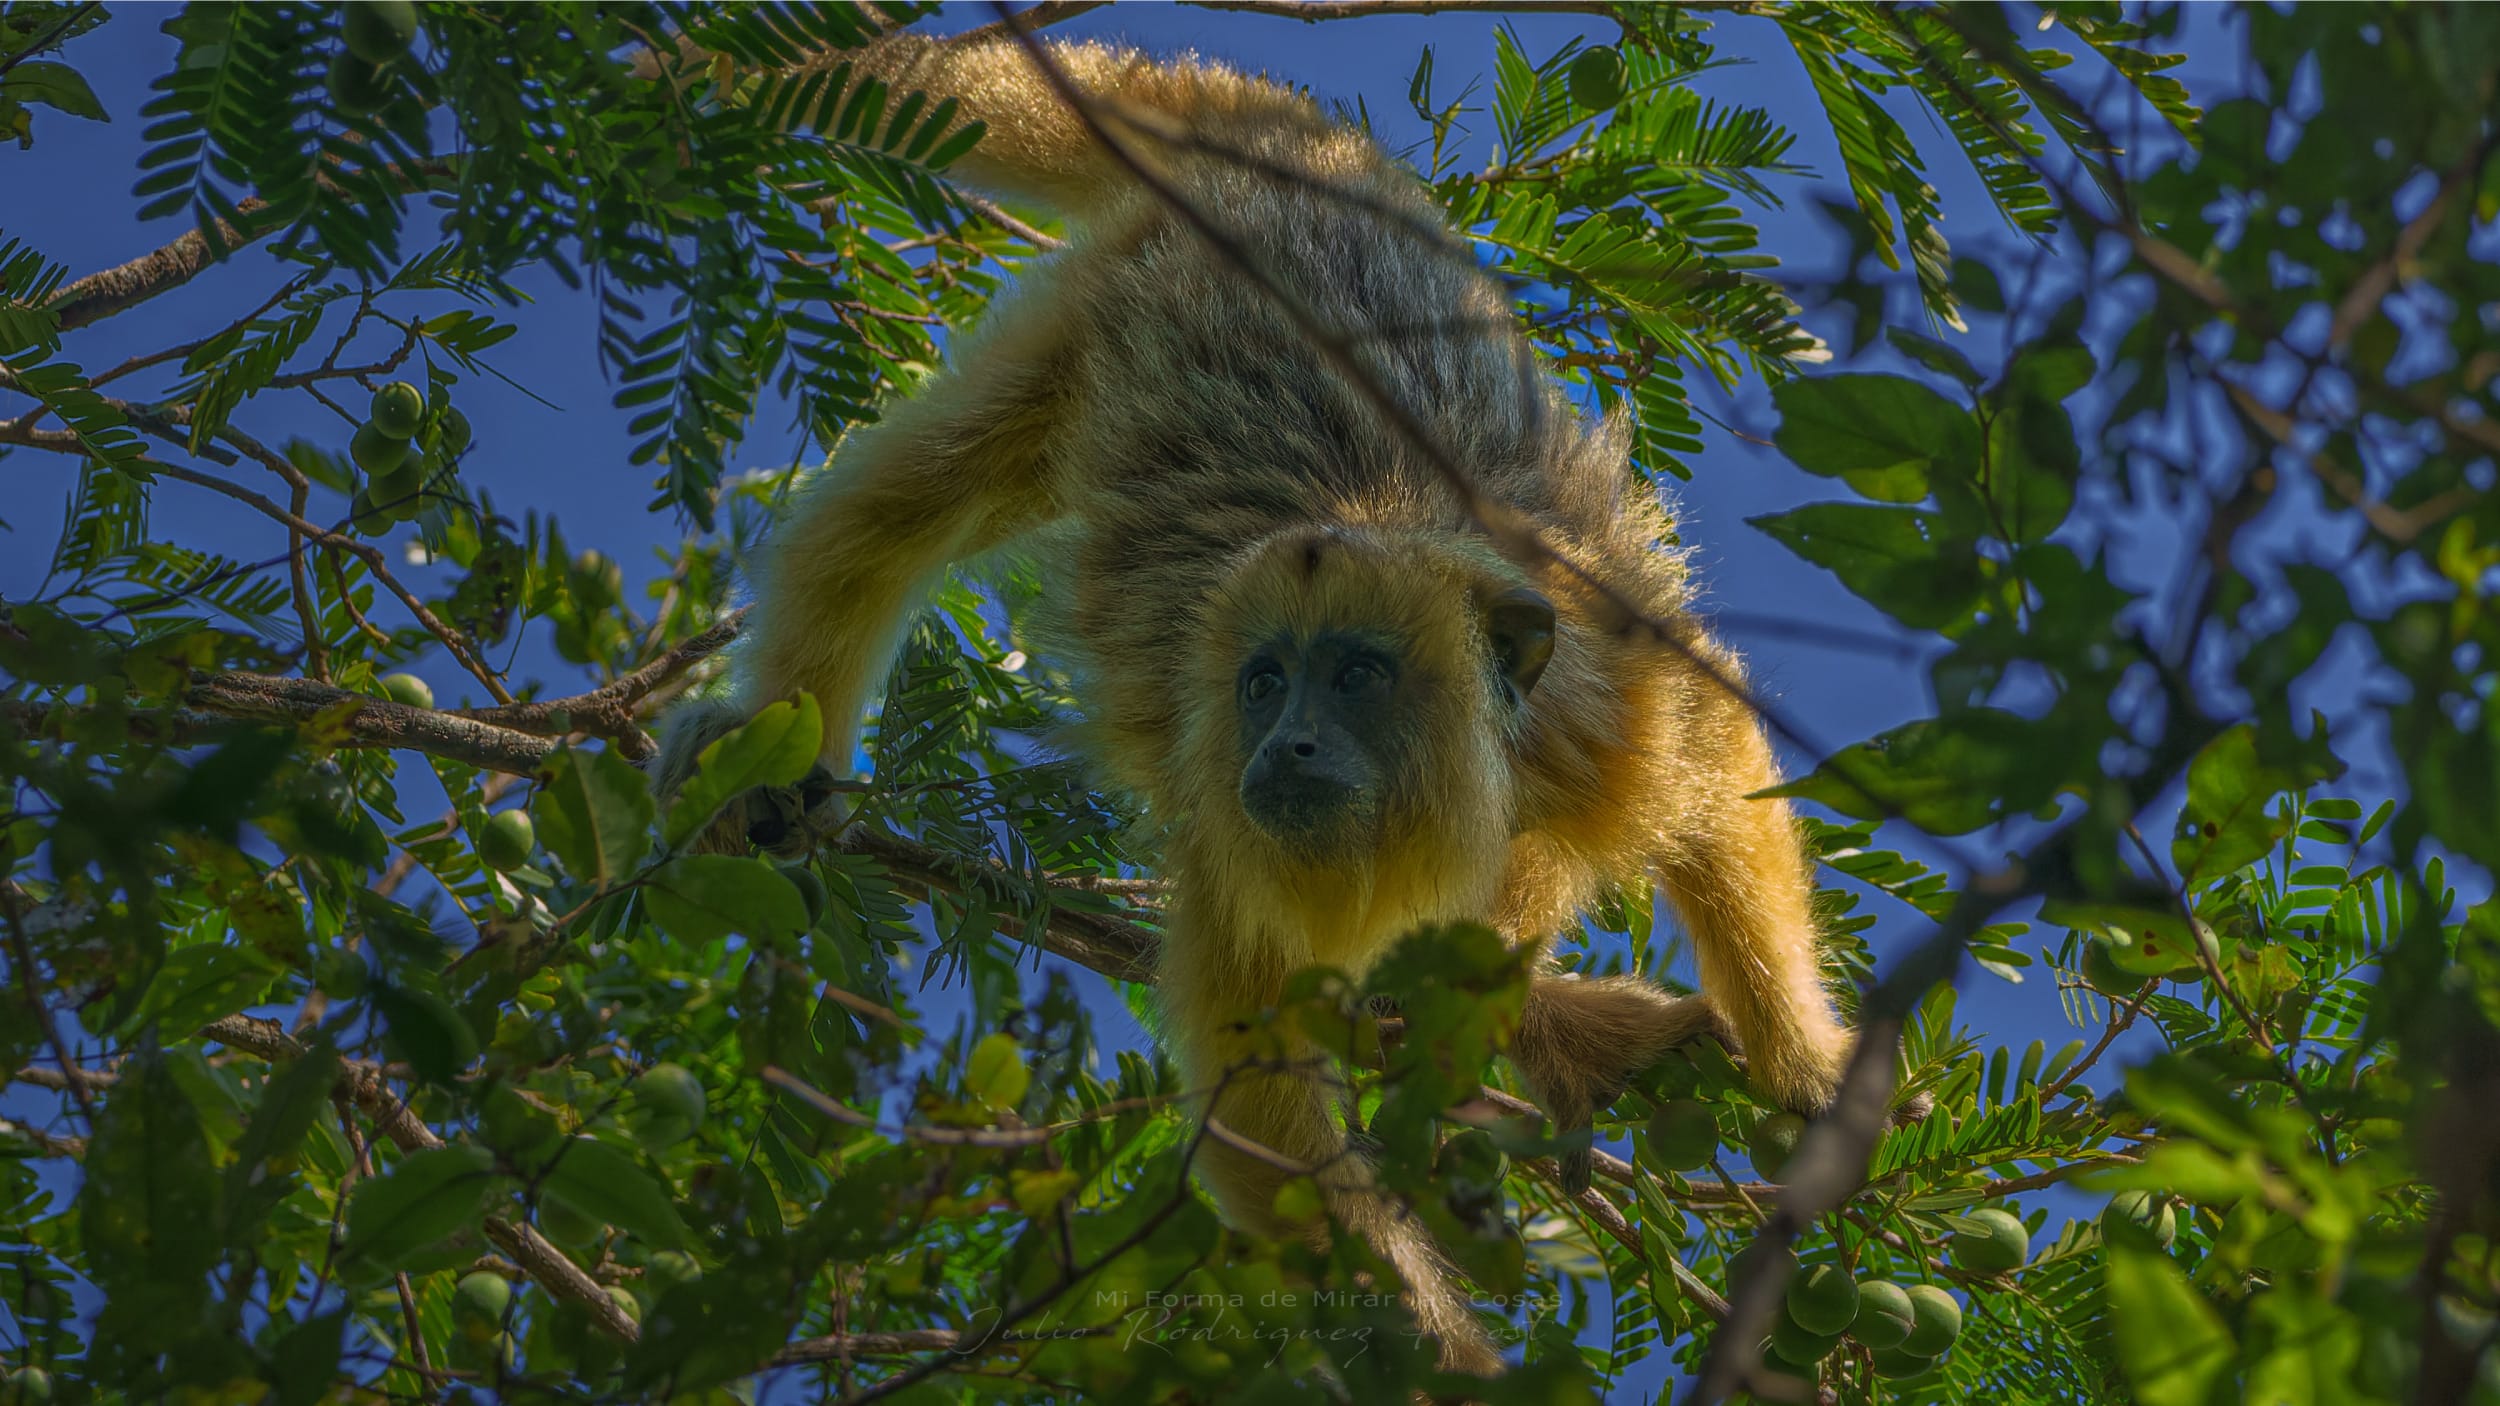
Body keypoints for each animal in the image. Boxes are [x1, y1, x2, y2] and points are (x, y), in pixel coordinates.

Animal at [655, 29, 1866, 1375]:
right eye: (1263, 679)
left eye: (1354, 674)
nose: (1285, 744)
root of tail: (1299, 149)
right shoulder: (1230, 830)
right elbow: (1263, 1119)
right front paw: (1448, 1362)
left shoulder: (1596, 710)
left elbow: (1717, 758)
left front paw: (1806, 1067)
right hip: (1119, 300)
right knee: (908, 503)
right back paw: (768, 747)